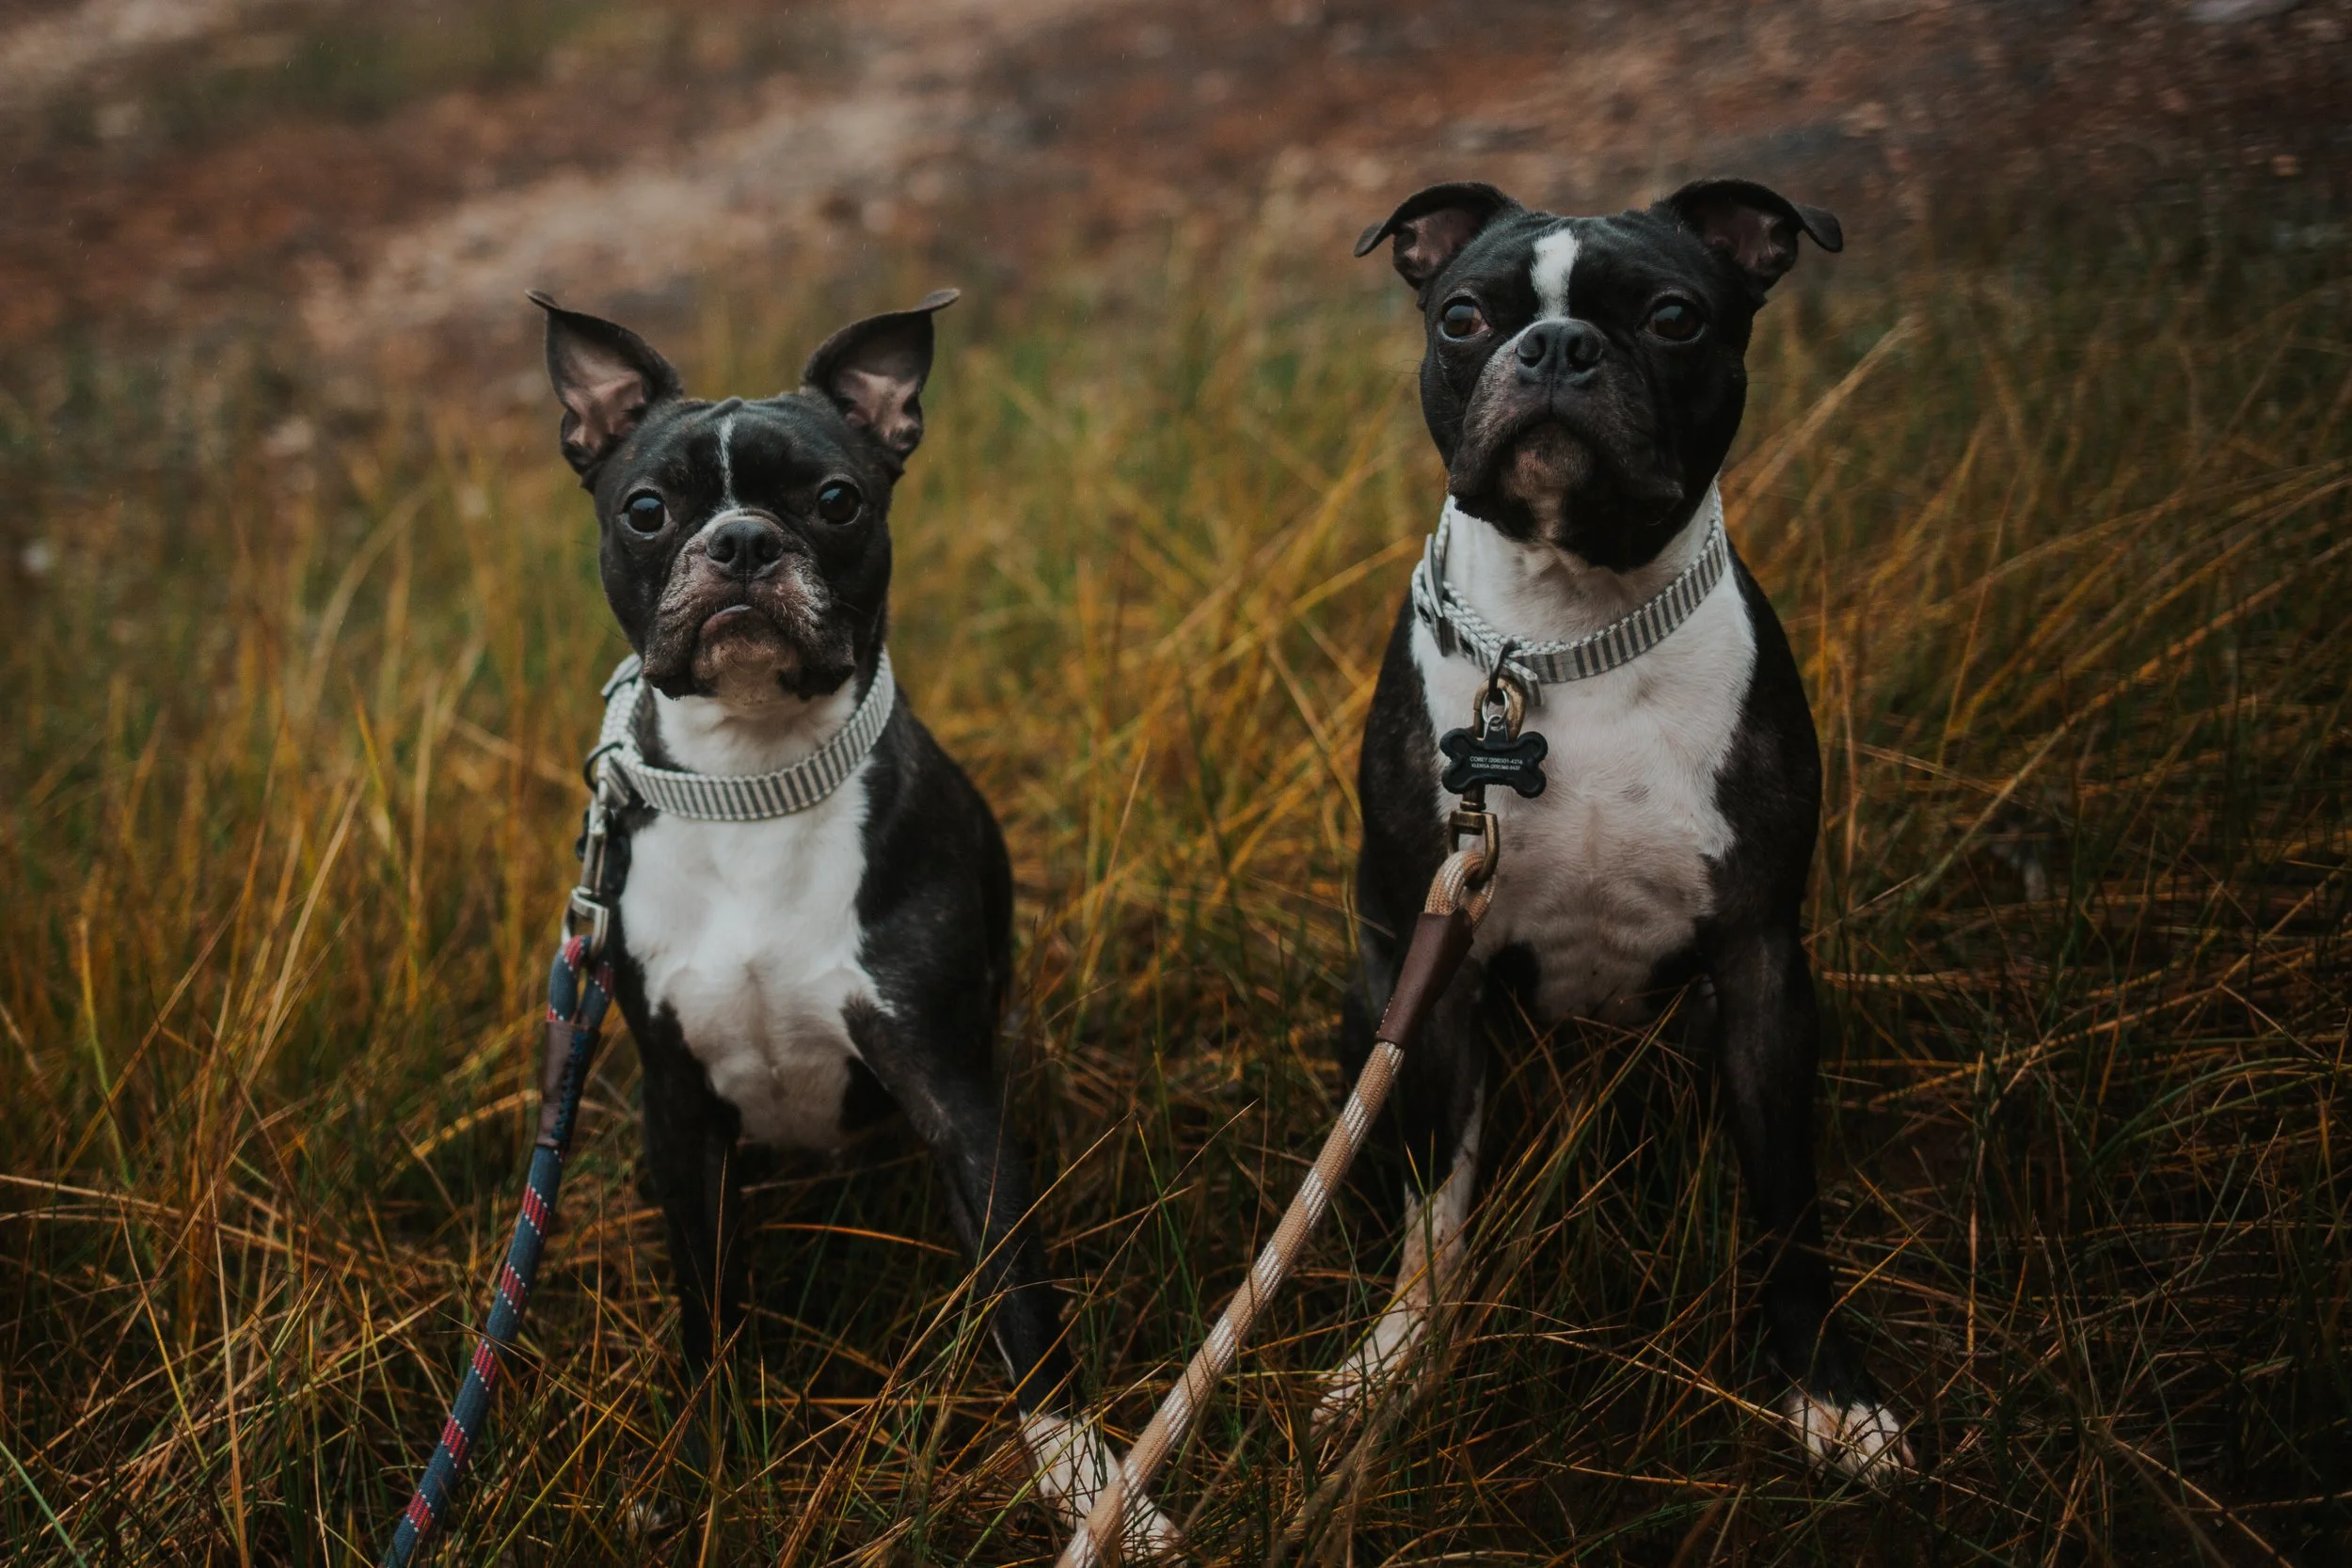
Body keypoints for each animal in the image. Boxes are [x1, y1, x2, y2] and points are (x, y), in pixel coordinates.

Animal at [534, 289, 1177, 1548]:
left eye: (836, 500)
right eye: (647, 509)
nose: (740, 542)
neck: (754, 778)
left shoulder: (955, 1096)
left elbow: (1021, 1298)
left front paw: (1085, 1479)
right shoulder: (680, 1111)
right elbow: (707, 1303)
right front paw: (703, 1460)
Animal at [1322, 178, 1912, 1479]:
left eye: (1675, 317)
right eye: (1464, 315)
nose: (1554, 345)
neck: (1563, 637)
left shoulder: (1761, 966)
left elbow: (1786, 1205)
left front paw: (1825, 1389)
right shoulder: (1438, 974)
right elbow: (1435, 1210)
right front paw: (1396, 1363)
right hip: (1378, 988)